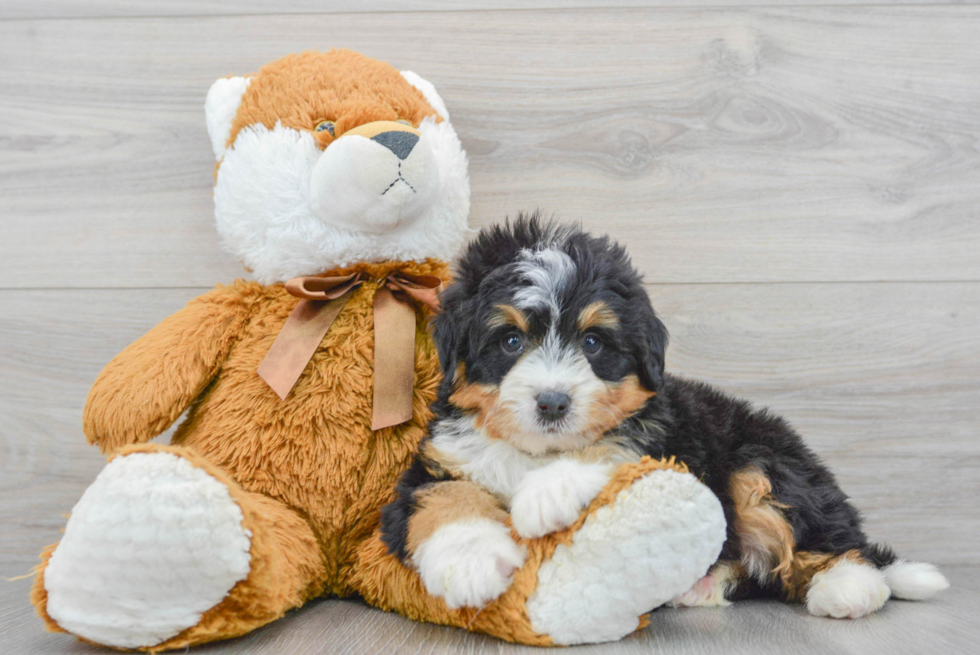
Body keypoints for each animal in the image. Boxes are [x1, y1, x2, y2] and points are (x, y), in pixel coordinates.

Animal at [378, 213, 944, 616]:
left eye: (593, 342)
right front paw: (472, 563)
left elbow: (611, 448)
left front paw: (546, 494)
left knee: (827, 539)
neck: (535, 451)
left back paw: (849, 585)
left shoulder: (669, 444)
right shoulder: (437, 462)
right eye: (511, 341)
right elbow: (442, 498)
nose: (553, 402)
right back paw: (701, 584)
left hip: (763, 464)